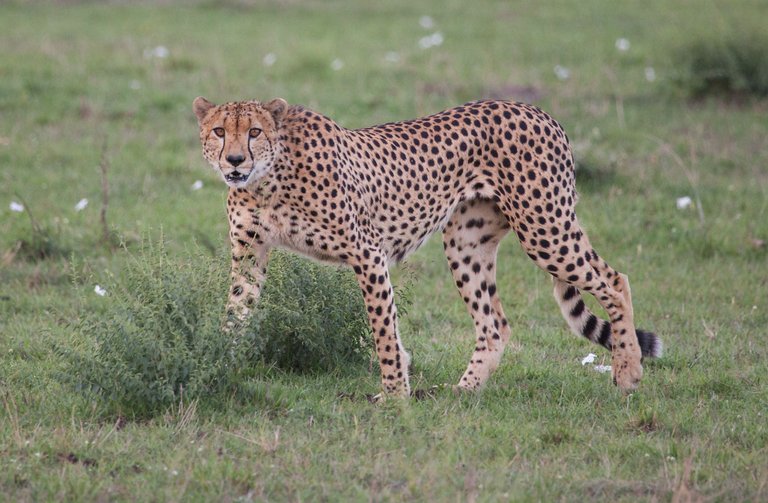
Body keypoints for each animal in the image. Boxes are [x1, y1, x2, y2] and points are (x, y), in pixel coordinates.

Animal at [192, 97, 660, 398]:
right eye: (219, 131)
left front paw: (394, 395)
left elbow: (383, 328)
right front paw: (217, 367)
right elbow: (235, 314)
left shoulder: (367, 253)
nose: (235, 160)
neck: (267, 181)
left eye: (254, 132)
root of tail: (534, 109)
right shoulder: (249, 255)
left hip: (544, 227)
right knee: (494, 324)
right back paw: (463, 391)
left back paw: (629, 372)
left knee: (614, 279)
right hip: (467, 242)